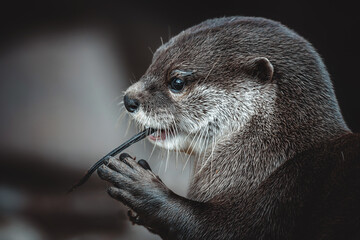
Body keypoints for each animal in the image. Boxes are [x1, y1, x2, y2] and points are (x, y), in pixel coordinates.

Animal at [95, 16, 360, 238]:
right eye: (153, 63)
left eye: (177, 82)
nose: (129, 99)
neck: (269, 158)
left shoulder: (279, 201)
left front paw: (140, 186)